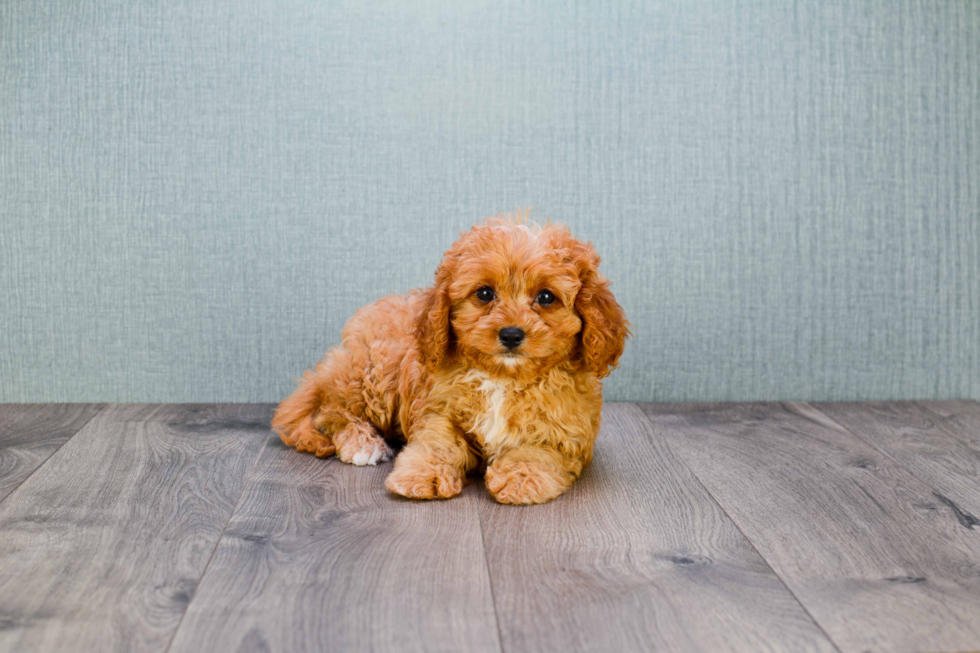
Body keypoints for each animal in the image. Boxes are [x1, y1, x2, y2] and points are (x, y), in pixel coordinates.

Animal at [272, 214, 632, 504]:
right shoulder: (438, 410)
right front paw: (423, 475)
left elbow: (536, 451)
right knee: (333, 410)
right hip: (374, 374)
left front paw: (520, 478)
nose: (511, 334)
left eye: (546, 297)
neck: (503, 377)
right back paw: (362, 443)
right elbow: (438, 443)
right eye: (484, 293)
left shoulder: (565, 433)